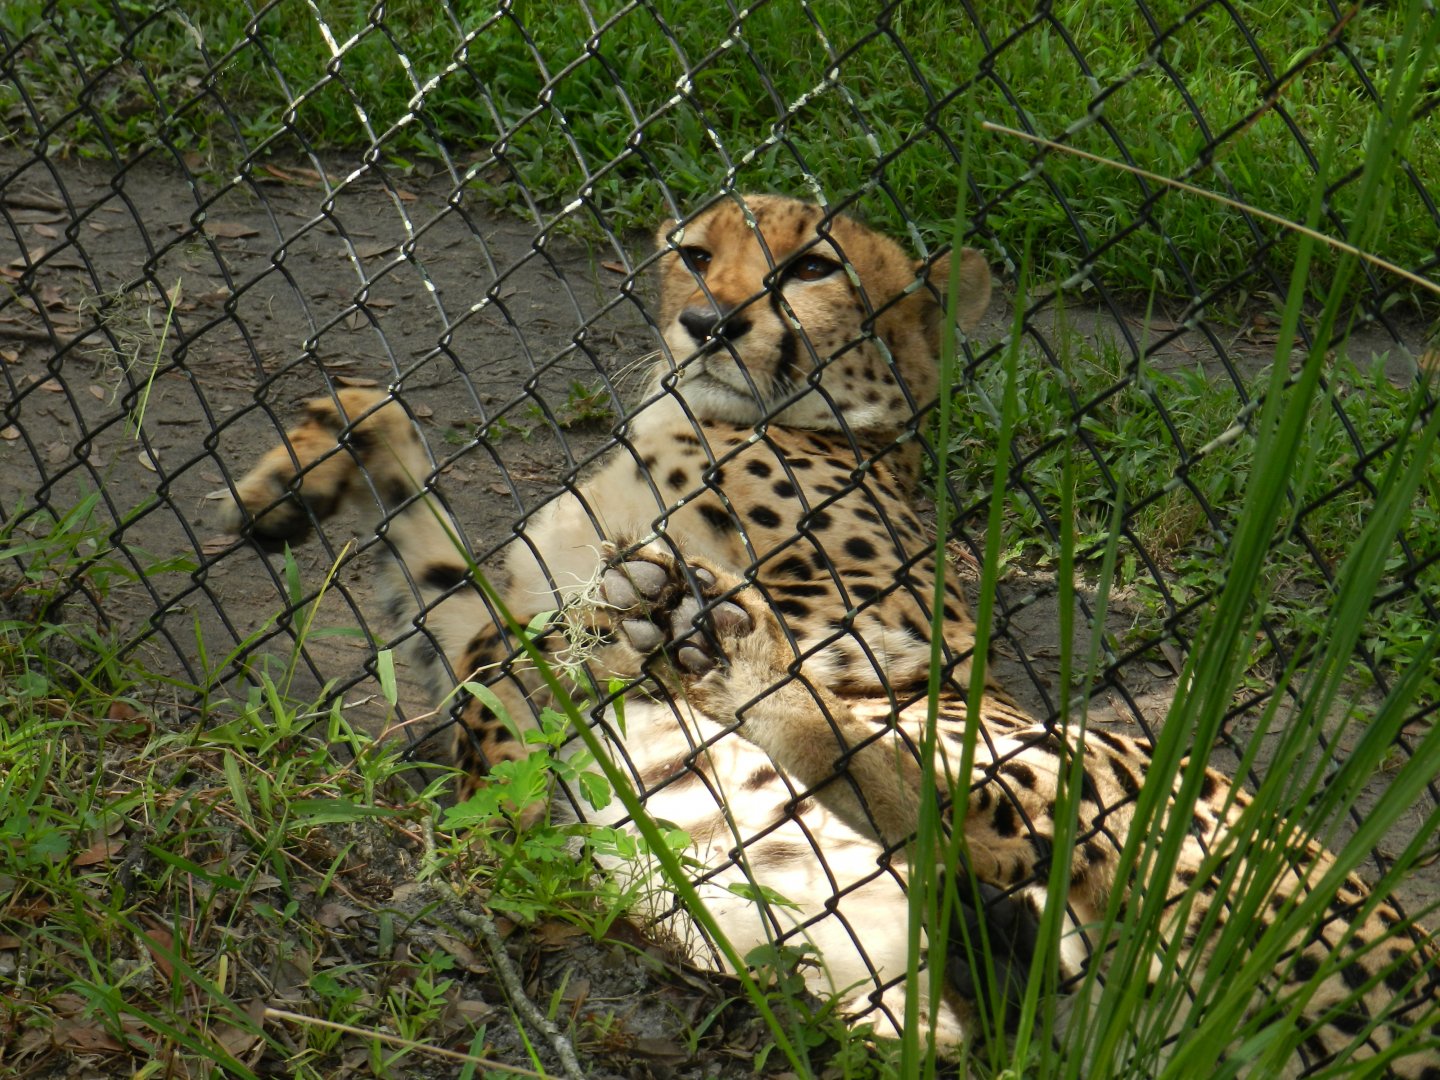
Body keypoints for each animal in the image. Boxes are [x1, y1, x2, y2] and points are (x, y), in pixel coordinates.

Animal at [223, 193, 1438, 1074]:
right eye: (692, 253)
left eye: (810, 269)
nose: (710, 323)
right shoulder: (490, 631)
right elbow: (438, 561)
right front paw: (300, 466)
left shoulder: (894, 635)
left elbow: (532, 639)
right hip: (917, 990)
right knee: (982, 1005)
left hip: (1082, 758)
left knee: (961, 820)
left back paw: (733, 661)